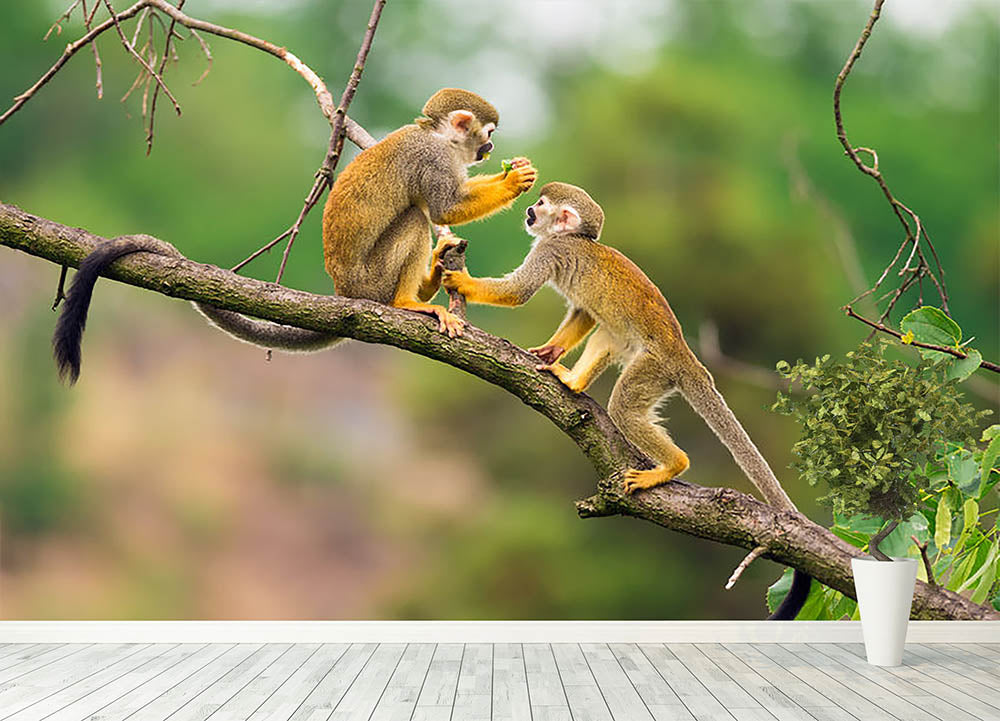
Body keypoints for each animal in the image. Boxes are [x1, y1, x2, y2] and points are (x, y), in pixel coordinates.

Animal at [53, 88, 537, 382]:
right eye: (488, 134)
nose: (491, 148)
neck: (439, 138)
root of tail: (345, 292)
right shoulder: (431, 159)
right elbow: (442, 207)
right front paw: (514, 181)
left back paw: (433, 275)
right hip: (372, 280)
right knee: (415, 218)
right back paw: (407, 302)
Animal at [440, 181, 811, 620]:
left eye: (541, 205)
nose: (529, 211)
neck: (574, 239)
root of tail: (686, 356)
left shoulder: (551, 251)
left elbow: (519, 293)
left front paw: (463, 283)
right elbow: (584, 313)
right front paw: (551, 351)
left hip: (655, 368)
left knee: (624, 406)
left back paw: (672, 465)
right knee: (607, 330)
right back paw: (575, 381)